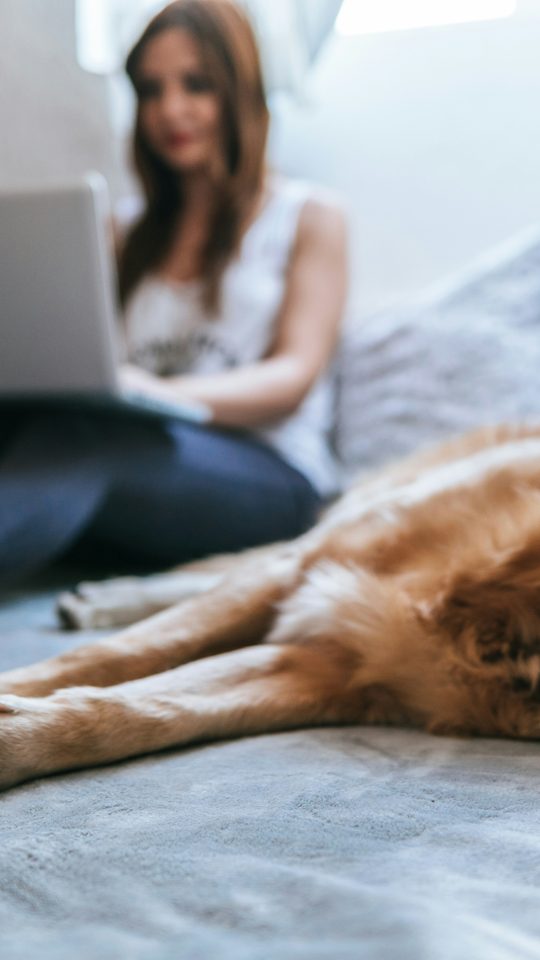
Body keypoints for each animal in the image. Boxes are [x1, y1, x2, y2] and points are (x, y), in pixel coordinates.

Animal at [1, 424, 540, 792]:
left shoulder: (332, 666)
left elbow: (154, 710)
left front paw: (21, 736)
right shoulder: (297, 570)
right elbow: (118, 654)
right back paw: (107, 598)